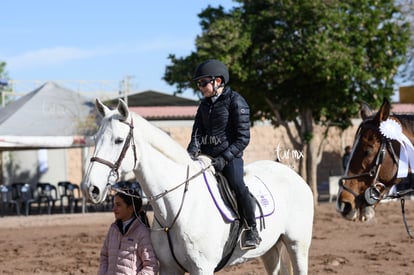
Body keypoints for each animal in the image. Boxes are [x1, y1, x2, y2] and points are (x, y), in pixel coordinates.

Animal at [81, 99, 314, 275]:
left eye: (119, 140)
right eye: (95, 139)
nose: (89, 188)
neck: (177, 209)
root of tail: (294, 175)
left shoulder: (202, 268)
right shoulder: (169, 269)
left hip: (297, 245)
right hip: (270, 250)